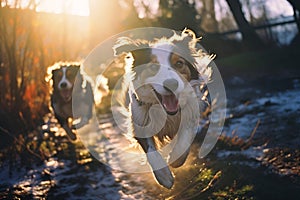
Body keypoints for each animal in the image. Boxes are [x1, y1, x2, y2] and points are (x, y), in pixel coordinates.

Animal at [113, 28, 213, 188]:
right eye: (153, 67)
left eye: (179, 63)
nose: (171, 84)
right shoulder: (139, 120)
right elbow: (151, 151)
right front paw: (164, 176)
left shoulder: (190, 112)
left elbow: (184, 139)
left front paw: (176, 159)